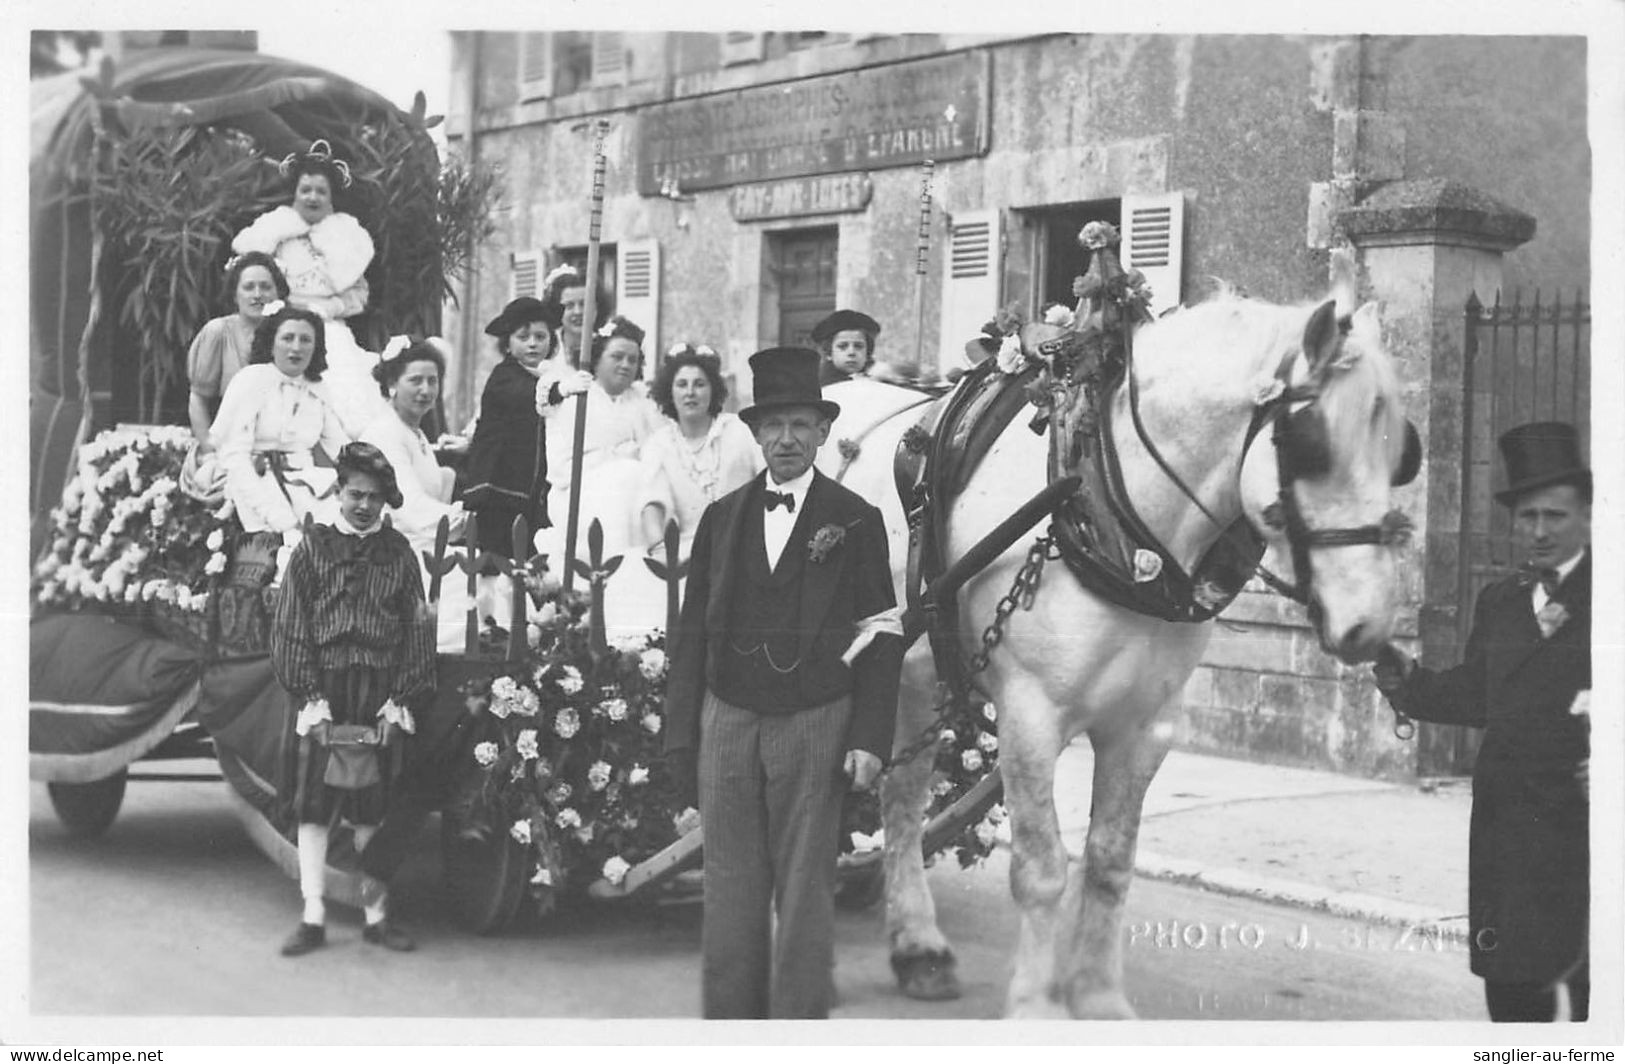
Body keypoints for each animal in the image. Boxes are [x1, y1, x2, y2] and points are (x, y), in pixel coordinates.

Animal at [819, 289, 1417, 1013]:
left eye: (1403, 453)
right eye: (1311, 446)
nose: (1370, 623)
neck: (1101, 498)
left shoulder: (1144, 728)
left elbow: (1108, 862)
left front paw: (1098, 997)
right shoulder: (1030, 716)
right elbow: (1042, 866)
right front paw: (1036, 1003)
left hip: (917, 670)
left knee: (897, 792)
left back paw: (911, 941)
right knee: (887, 793)